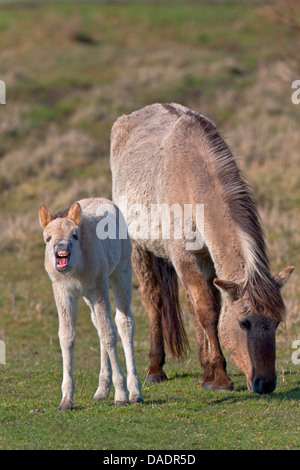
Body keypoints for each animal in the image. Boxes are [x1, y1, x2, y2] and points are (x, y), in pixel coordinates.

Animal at [39, 198, 143, 412]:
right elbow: (67, 337)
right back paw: (102, 390)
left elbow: (109, 334)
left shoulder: (99, 287)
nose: (62, 248)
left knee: (124, 322)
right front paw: (66, 400)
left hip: (122, 271)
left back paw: (135, 392)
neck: (75, 270)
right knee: (98, 325)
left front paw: (121, 395)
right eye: (48, 238)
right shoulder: (63, 293)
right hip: (88, 296)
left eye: (75, 235)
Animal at [109, 102, 292, 392]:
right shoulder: (185, 258)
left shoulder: (209, 262)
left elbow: (207, 308)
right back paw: (155, 369)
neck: (193, 179)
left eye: (276, 322)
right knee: (153, 299)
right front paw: (220, 377)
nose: (266, 384)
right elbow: (207, 311)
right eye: (244, 323)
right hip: (139, 249)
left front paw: (209, 373)